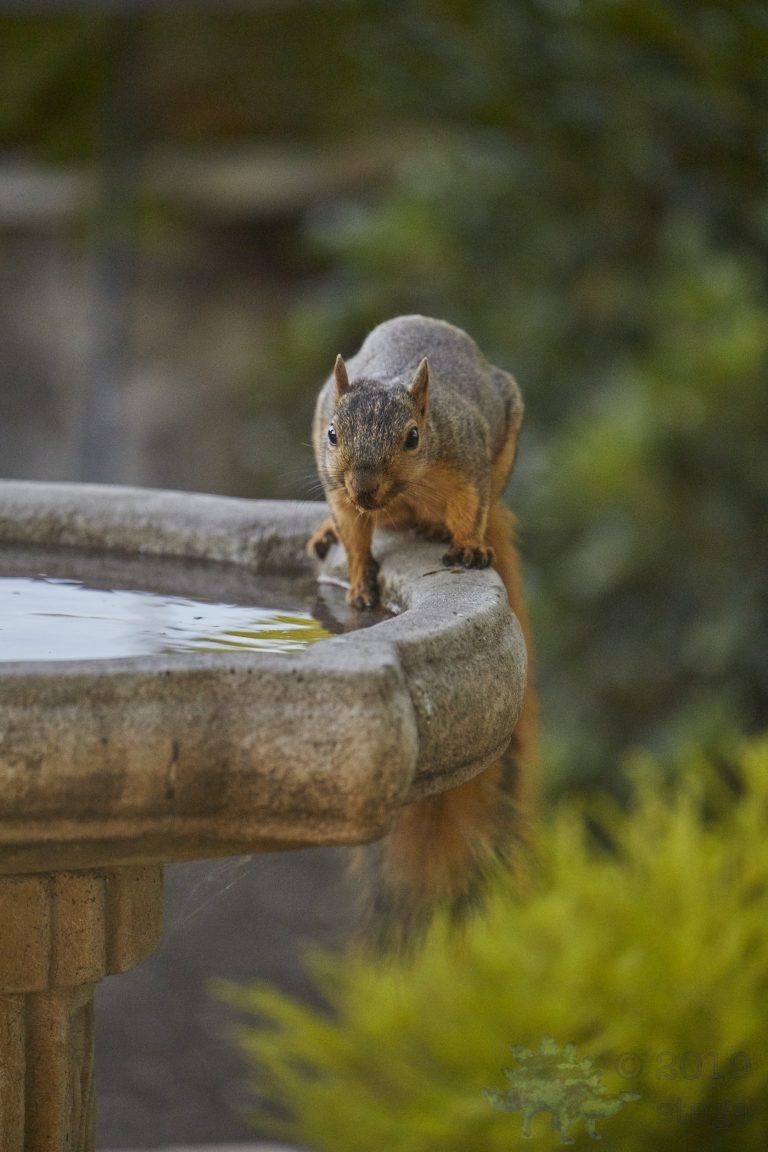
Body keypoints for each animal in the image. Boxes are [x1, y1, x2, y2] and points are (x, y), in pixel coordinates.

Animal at [308, 315, 536, 951]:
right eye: (332, 433)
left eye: (413, 438)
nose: (364, 486)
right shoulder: (337, 485)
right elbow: (354, 532)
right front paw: (360, 582)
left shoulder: (466, 461)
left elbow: (470, 506)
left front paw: (468, 545)